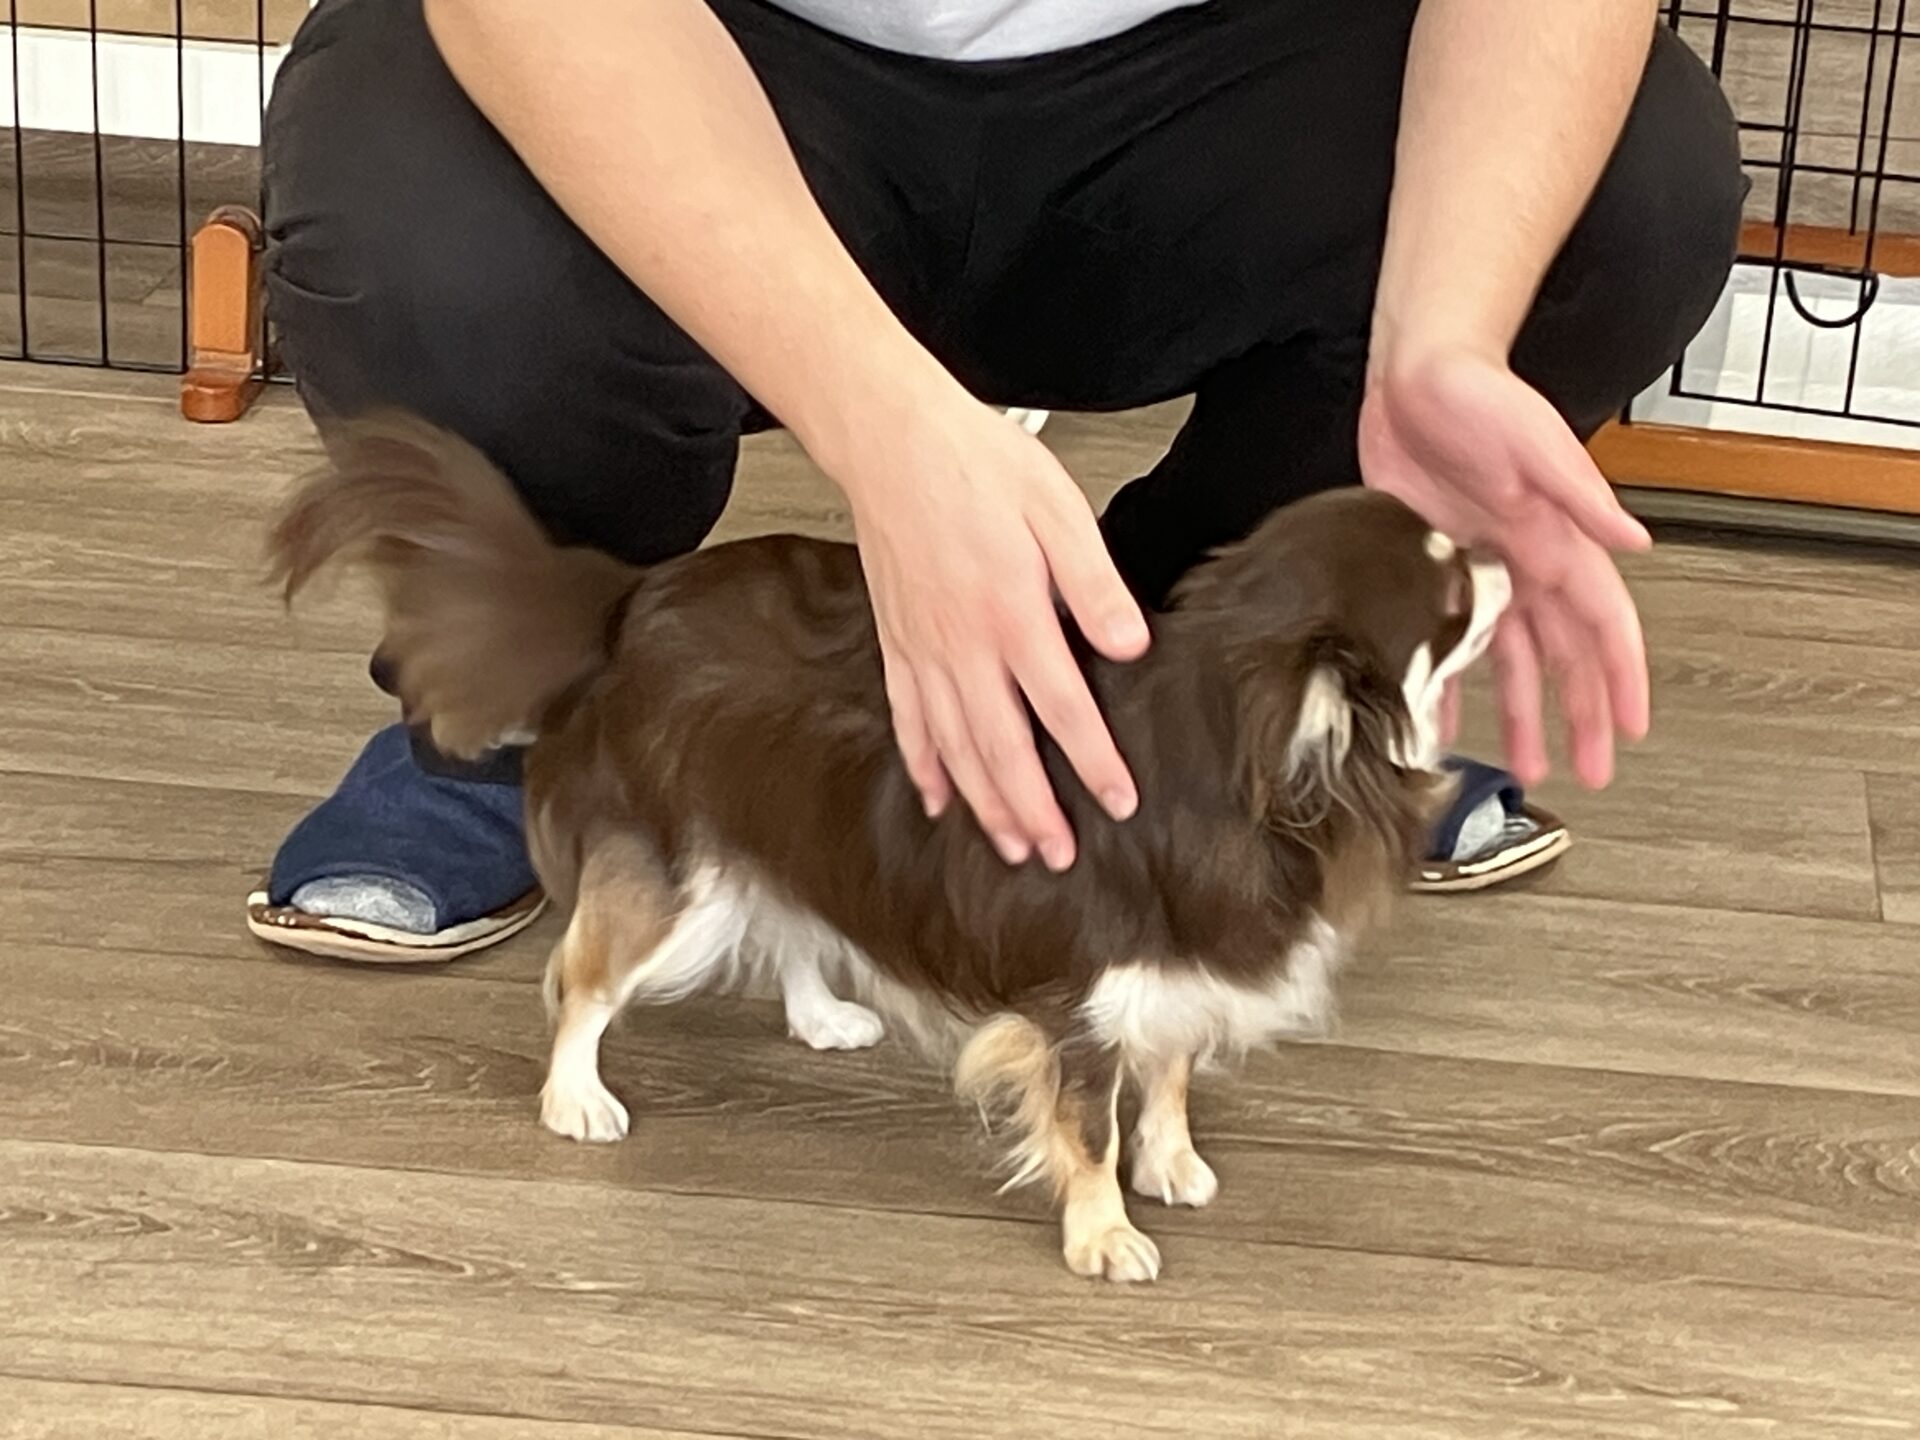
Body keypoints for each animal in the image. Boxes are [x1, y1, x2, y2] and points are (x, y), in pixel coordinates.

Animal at [270, 413, 1511, 1283]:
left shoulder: (1175, 969)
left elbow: (1169, 1071)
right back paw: (574, 1100)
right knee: (585, 978)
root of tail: (637, 594)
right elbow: (1092, 1124)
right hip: (680, 887)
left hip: (786, 821)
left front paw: (1172, 1162)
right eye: (1452, 587)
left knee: (794, 918)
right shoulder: (1077, 1003)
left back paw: (823, 1018)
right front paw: (1104, 1233)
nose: (1505, 545)